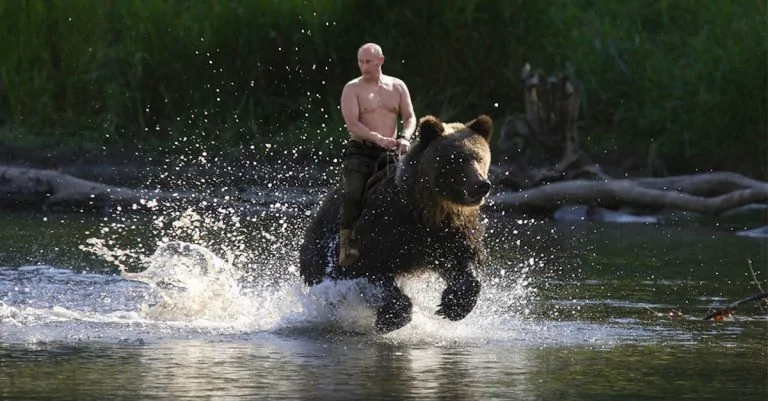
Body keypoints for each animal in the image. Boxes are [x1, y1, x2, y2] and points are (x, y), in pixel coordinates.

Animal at [298, 114, 494, 334]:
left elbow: (463, 260)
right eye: (456, 159)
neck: (427, 209)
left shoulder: (450, 230)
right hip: (323, 248)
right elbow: (370, 268)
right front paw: (391, 318)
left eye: (479, 157)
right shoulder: (386, 226)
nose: (481, 185)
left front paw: (452, 306)